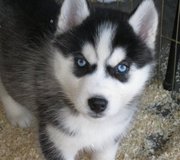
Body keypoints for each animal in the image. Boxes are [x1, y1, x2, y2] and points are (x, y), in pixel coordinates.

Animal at [0, 0, 158, 159]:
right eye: (81, 62)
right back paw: (17, 113)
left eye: (122, 67)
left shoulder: (109, 141)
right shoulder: (56, 141)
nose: (97, 103)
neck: (93, 125)